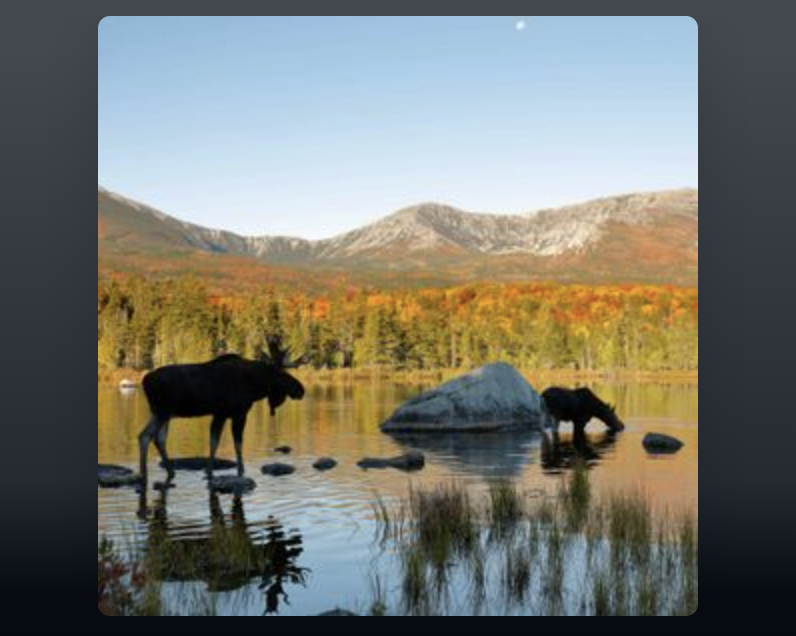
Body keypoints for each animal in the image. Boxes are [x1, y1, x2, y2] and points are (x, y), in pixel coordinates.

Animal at [138, 336, 309, 489]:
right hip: (162, 411)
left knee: (159, 439)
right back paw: (144, 475)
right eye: (282, 374)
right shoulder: (238, 413)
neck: (254, 386)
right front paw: (239, 469)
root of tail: (145, 381)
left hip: (162, 413)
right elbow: (236, 443)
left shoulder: (220, 414)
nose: (300, 389)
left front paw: (209, 470)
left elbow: (214, 441)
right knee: (145, 436)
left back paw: (170, 471)